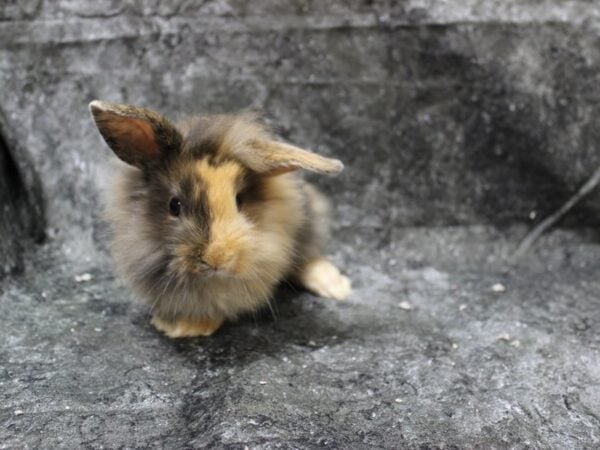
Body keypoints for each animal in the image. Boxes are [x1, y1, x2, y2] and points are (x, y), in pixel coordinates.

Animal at [89, 99, 352, 338]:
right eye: (174, 205)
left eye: (239, 200)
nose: (218, 258)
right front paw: (174, 325)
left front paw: (185, 328)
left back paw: (337, 288)